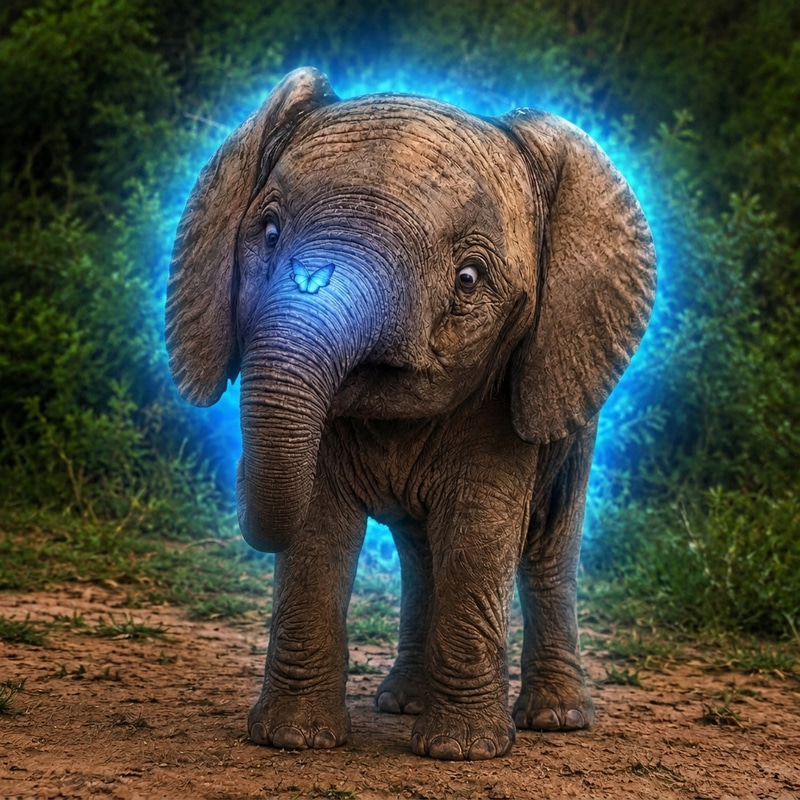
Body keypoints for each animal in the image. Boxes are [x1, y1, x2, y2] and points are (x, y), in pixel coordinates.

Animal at [165, 67, 656, 761]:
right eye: (268, 234)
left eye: (470, 279)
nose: (233, 476)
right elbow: (317, 529)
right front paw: (294, 741)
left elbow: (480, 531)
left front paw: (463, 752)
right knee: (421, 552)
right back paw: (403, 703)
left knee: (548, 547)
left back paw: (556, 719)